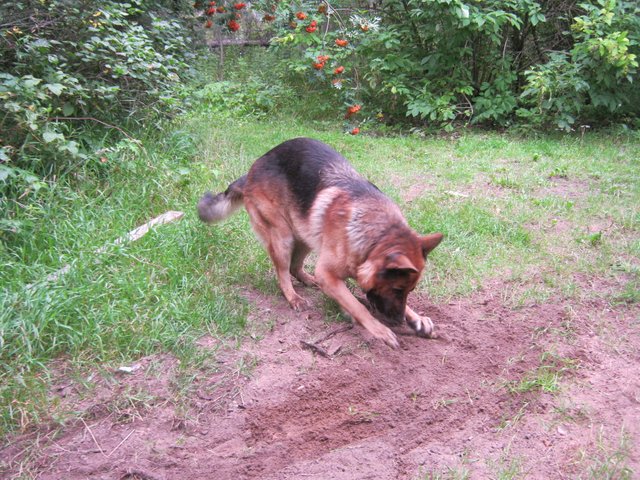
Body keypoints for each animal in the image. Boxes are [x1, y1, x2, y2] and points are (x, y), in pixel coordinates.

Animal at [198, 137, 442, 346]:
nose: (399, 321)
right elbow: (357, 306)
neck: (377, 237)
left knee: (295, 267)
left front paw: (417, 317)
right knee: (283, 272)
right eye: (397, 289)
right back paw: (293, 297)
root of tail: (254, 168)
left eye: (409, 290)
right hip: (283, 236)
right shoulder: (328, 275)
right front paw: (379, 329)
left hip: (306, 232)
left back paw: (308, 280)